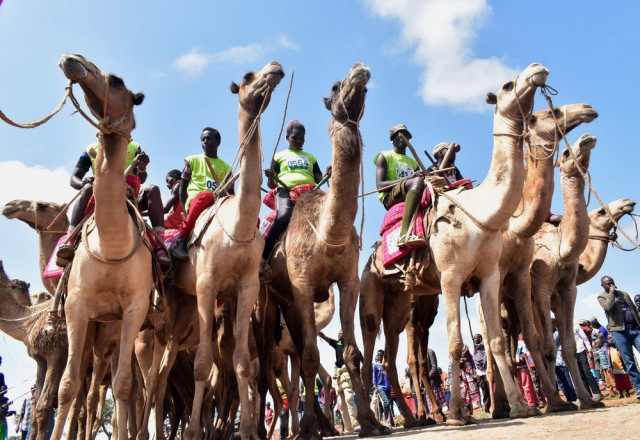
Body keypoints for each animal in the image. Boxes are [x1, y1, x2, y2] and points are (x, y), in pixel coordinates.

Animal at [50, 55, 149, 440]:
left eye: (117, 81)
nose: (73, 60)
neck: (111, 247)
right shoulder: (77, 305)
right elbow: (67, 386)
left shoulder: (134, 308)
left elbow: (122, 385)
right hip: (93, 326)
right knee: (83, 385)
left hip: (112, 329)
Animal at [172, 62, 284, 440]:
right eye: (248, 76)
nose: (275, 68)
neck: (238, 227)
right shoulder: (206, 283)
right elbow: (203, 363)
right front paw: (193, 433)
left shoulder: (245, 287)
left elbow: (241, 362)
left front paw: (249, 429)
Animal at [362, 62, 548, 426]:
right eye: (507, 85)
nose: (537, 68)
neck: (481, 214)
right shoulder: (450, 277)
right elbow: (455, 342)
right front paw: (459, 414)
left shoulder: (490, 275)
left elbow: (495, 341)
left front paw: (520, 406)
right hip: (371, 293)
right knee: (363, 350)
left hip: (401, 305)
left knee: (390, 358)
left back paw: (414, 418)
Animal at [528, 133, 604, 410]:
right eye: (566, 153)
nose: (587, 138)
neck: (561, 249)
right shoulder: (541, 285)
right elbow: (550, 348)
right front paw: (556, 404)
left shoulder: (567, 289)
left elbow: (569, 347)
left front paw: (588, 400)